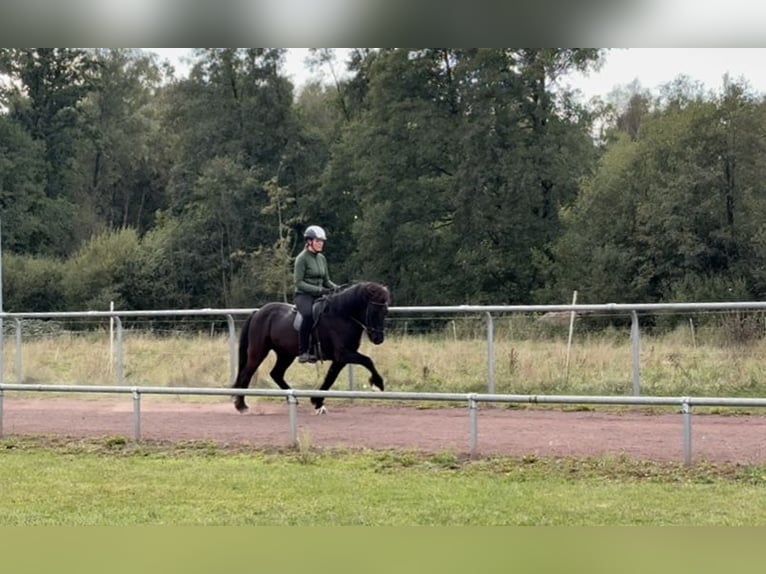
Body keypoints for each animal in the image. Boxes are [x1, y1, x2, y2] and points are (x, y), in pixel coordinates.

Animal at [232, 281, 391, 414]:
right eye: (374, 310)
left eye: (385, 312)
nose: (378, 339)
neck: (342, 315)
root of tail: (257, 312)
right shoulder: (344, 354)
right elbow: (368, 361)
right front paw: (378, 384)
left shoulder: (341, 358)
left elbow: (330, 377)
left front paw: (317, 402)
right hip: (258, 351)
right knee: (246, 373)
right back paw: (241, 406)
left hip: (285, 354)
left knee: (276, 373)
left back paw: (292, 398)